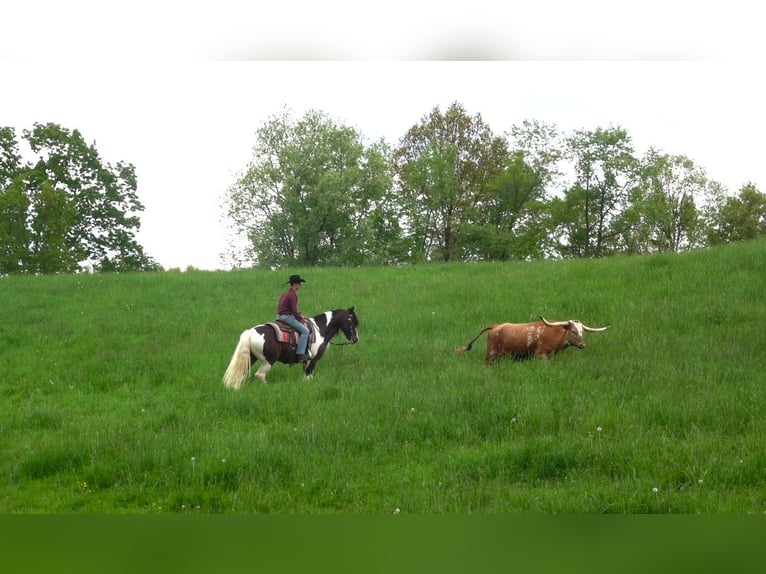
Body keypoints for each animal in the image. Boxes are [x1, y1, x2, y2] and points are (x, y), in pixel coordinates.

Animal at [222, 308, 360, 390]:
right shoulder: (313, 360)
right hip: (268, 361)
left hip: (250, 358)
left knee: (242, 374)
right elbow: (309, 376)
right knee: (260, 375)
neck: (320, 330)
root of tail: (250, 333)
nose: (355, 339)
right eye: (352, 321)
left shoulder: (305, 362)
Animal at [456, 316, 612, 364]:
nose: (582, 344)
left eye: (582, 332)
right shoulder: (540, 356)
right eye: (573, 331)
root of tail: (496, 326)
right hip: (491, 356)